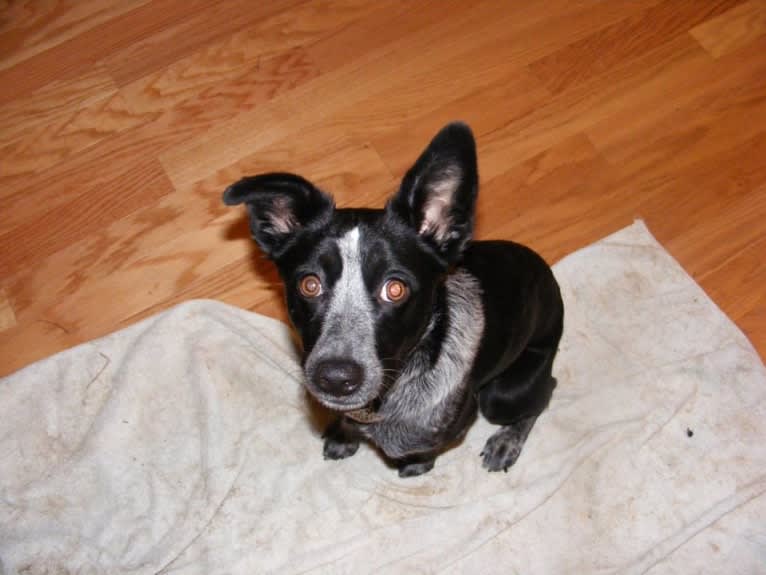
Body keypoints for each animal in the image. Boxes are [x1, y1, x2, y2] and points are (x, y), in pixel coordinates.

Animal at [222, 121, 564, 476]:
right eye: (310, 285)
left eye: (395, 288)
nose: (335, 378)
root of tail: (547, 275)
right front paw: (344, 435)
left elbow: (423, 447)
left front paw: (417, 464)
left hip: (503, 394)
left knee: (545, 391)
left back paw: (506, 441)